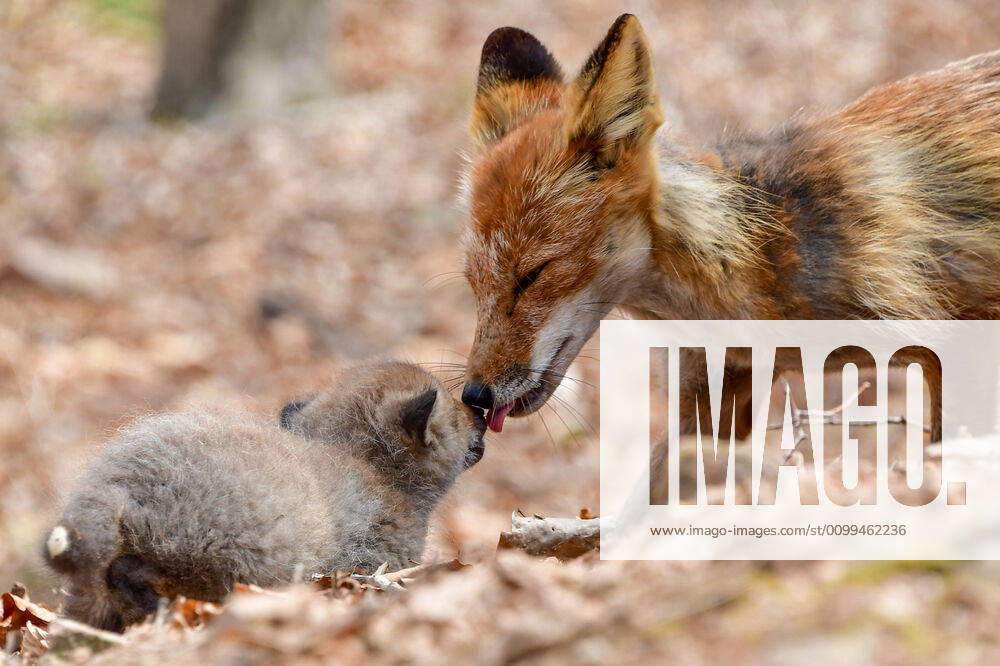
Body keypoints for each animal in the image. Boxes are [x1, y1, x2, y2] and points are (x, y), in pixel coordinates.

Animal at [43, 361, 487, 631]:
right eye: (458, 416)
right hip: (233, 561)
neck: (367, 467)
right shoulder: (375, 562)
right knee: (138, 575)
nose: (480, 410)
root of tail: (118, 478)